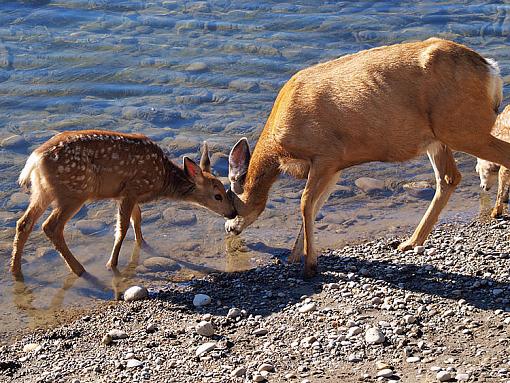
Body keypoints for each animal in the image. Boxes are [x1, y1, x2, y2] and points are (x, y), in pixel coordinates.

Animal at [10, 130, 235, 278]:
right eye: (218, 195)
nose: (232, 212)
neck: (162, 179)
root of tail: (35, 160)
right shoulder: (132, 189)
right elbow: (123, 227)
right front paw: (112, 264)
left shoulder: (127, 194)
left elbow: (137, 218)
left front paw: (142, 243)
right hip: (74, 192)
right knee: (50, 226)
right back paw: (79, 269)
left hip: (42, 191)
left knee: (24, 223)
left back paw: (15, 270)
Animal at [227, 38, 510, 280]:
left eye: (232, 201)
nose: (230, 228)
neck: (279, 148)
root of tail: (492, 72)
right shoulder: (335, 168)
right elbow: (316, 207)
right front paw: (295, 256)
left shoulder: (326, 154)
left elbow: (305, 204)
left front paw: (309, 265)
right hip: (439, 137)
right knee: (449, 177)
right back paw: (410, 242)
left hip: (462, 127)